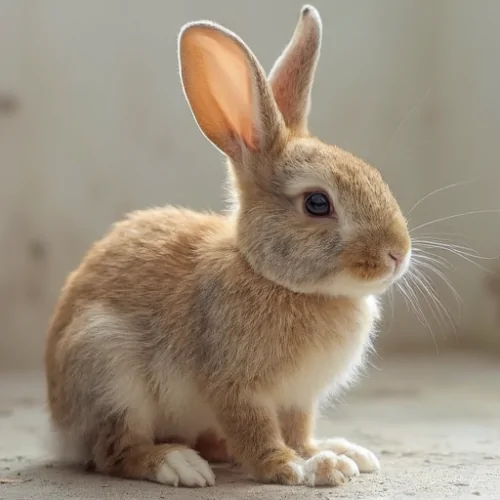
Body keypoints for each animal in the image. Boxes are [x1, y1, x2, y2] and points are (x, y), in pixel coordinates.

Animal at [45, 3, 410, 488]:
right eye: (317, 203)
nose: (398, 254)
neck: (270, 275)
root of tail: (61, 428)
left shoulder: (297, 398)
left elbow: (299, 428)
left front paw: (325, 456)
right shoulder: (234, 385)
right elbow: (255, 431)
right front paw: (293, 467)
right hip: (108, 369)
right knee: (115, 450)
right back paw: (178, 463)